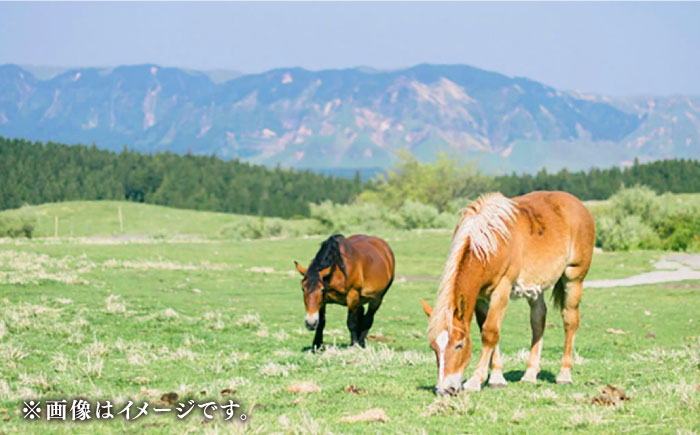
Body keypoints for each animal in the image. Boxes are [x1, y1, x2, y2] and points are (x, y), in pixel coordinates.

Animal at [418, 192, 592, 396]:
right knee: (538, 320)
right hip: (535, 287)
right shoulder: (481, 297)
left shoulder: (502, 289)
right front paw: (497, 377)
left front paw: (476, 380)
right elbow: (487, 330)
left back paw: (564, 374)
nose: (444, 389)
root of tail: (578, 204)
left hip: (574, 277)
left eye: (459, 344)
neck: (489, 243)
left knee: (570, 321)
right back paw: (530, 374)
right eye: (434, 347)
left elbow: (490, 332)